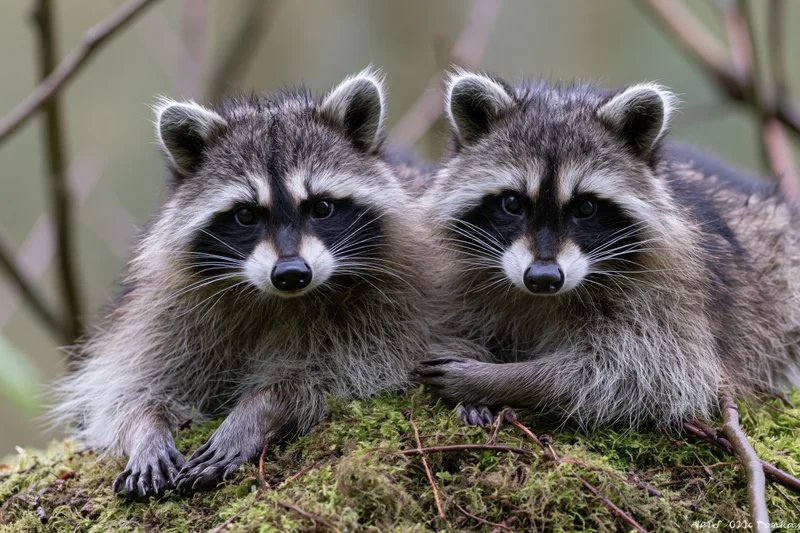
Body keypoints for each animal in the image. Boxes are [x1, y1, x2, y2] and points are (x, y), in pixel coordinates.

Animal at [50, 70, 431, 497]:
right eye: (246, 215)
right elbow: (127, 392)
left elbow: (332, 377)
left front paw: (258, 409)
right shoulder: (165, 315)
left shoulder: (387, 314)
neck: (277, 298)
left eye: (321, 207)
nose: (291, 273)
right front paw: (146, 428)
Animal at [417, 70, 800, 429]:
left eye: (586, 207)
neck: (542, 299)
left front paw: (504, 379)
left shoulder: (674, 299)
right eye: (512, 203)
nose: (543, 278)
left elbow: (643, 375)